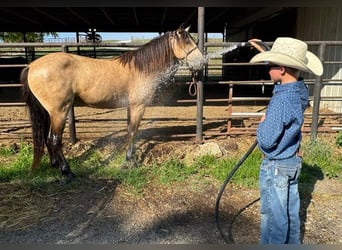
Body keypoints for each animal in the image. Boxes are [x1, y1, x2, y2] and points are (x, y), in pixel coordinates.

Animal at [20, 24, 206, 182]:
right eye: (186, 41)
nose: (202, 62)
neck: (140, 69)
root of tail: (32, 66)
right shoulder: (138, 106)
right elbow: (133, 131)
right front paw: (129, 160)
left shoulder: (131, 107)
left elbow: (129, 130)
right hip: (59, 111)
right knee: (55, 140)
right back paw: (67, 171)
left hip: (49, 112)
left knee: (47, 137)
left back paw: (54, 165)